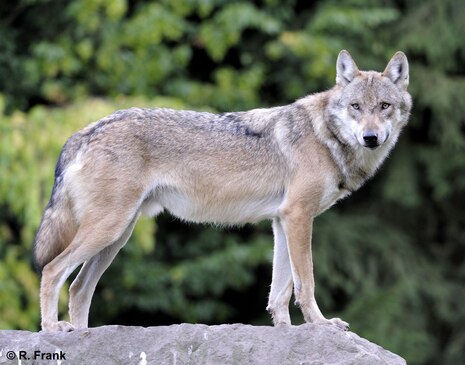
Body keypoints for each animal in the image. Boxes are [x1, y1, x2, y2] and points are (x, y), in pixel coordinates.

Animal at [33, 49, 410, 332]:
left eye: (384, 107)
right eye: (356, 107)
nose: (371, 137)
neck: (325, 137)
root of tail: (84, 132)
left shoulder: (282, 221)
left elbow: (280, 292)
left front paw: (285, 332)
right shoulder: (298, 217)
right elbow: (306, 282)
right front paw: (320, 324)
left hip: (117, 235)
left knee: (79, 289)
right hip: (108, 229)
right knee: (52, 271)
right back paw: (53, 329)